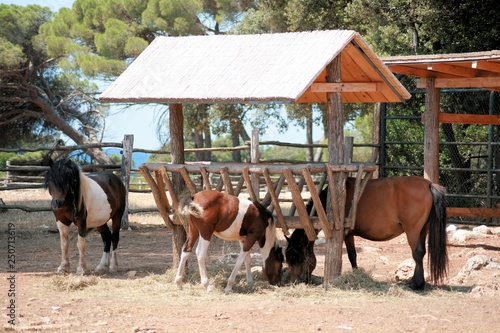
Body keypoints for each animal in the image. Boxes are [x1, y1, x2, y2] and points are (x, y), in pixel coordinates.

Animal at [286, 175, 450, 290]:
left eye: (299, 258)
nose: (293, 282)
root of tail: (428, 184)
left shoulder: (345, 234)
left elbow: (350, 255)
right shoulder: (350, 235)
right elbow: (353, 255)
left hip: (413, 230)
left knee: (417, 253)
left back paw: (416, 284)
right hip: (423, 230)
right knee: (421, 254)